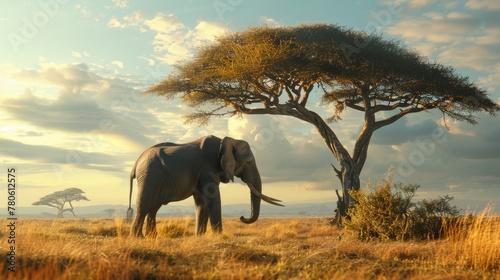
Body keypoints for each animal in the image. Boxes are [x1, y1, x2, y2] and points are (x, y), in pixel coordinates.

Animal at [129, 135, 284, 237]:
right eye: (249, 162)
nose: (242, 217)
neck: (226, 141)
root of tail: (136, 163)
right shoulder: (207, 167)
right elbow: (213, 197)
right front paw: (219, 237)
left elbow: (201, 201)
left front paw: (200, 237)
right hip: (150, 176)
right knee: (144, 205)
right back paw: (138, 238)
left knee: (153, 208)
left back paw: (151, 237)